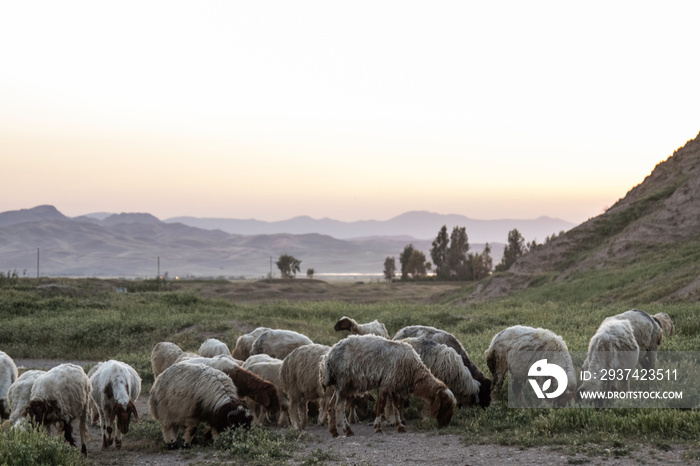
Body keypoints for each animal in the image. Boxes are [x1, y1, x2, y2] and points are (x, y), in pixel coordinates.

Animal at [320, 334, 456, 436]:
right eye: (446, 405)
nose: (445, 425)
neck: (414, 371)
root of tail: (327, 358)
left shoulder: (394, 385)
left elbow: (396, 406)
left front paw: (400, 426)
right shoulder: (385, 384)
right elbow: (380, 407)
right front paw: (378, 428)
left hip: (338, 385)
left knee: (331, 405)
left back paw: (334, 431)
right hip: (343, 382)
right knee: (338, 407)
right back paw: (347, 430)